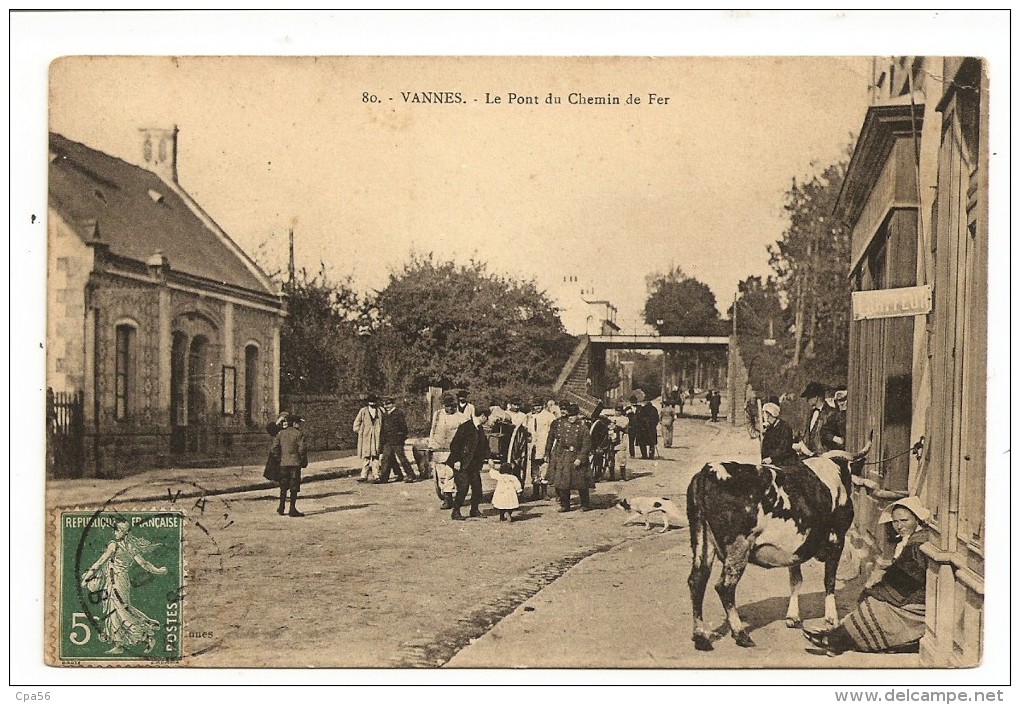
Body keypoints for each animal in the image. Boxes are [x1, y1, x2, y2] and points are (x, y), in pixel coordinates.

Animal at [685, 438, 869, 652]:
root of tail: (707, 471)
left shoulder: (797, 547)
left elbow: (796, 579)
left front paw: (793, 617)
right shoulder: (837, 538)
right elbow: (829, 581)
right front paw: (831, 619)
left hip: (702, 540)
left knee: (697, 581)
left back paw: (700, 636)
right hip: (738, 547)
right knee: (724, 587)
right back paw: (740, 634)